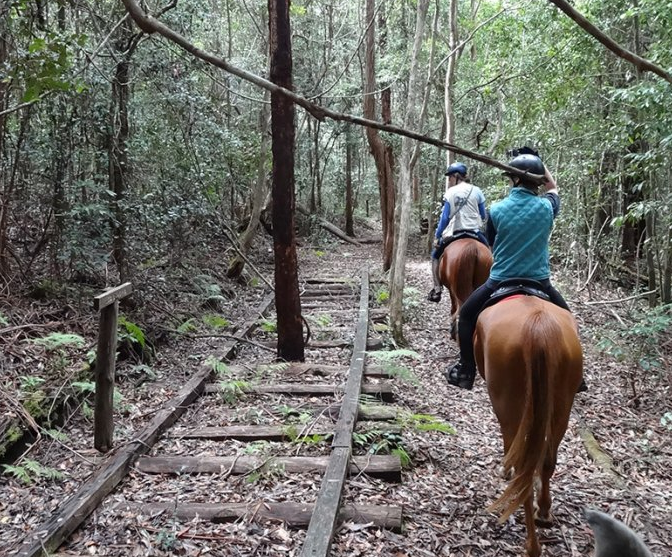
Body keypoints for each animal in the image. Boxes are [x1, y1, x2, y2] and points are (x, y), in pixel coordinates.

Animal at [472, 296, 584, 556]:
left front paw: (505, 469)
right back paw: (543, 512)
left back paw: (531, 544)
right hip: (562, 404)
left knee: (523, 464)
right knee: (547, 460)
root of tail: (538, 327)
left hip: (509, 399)